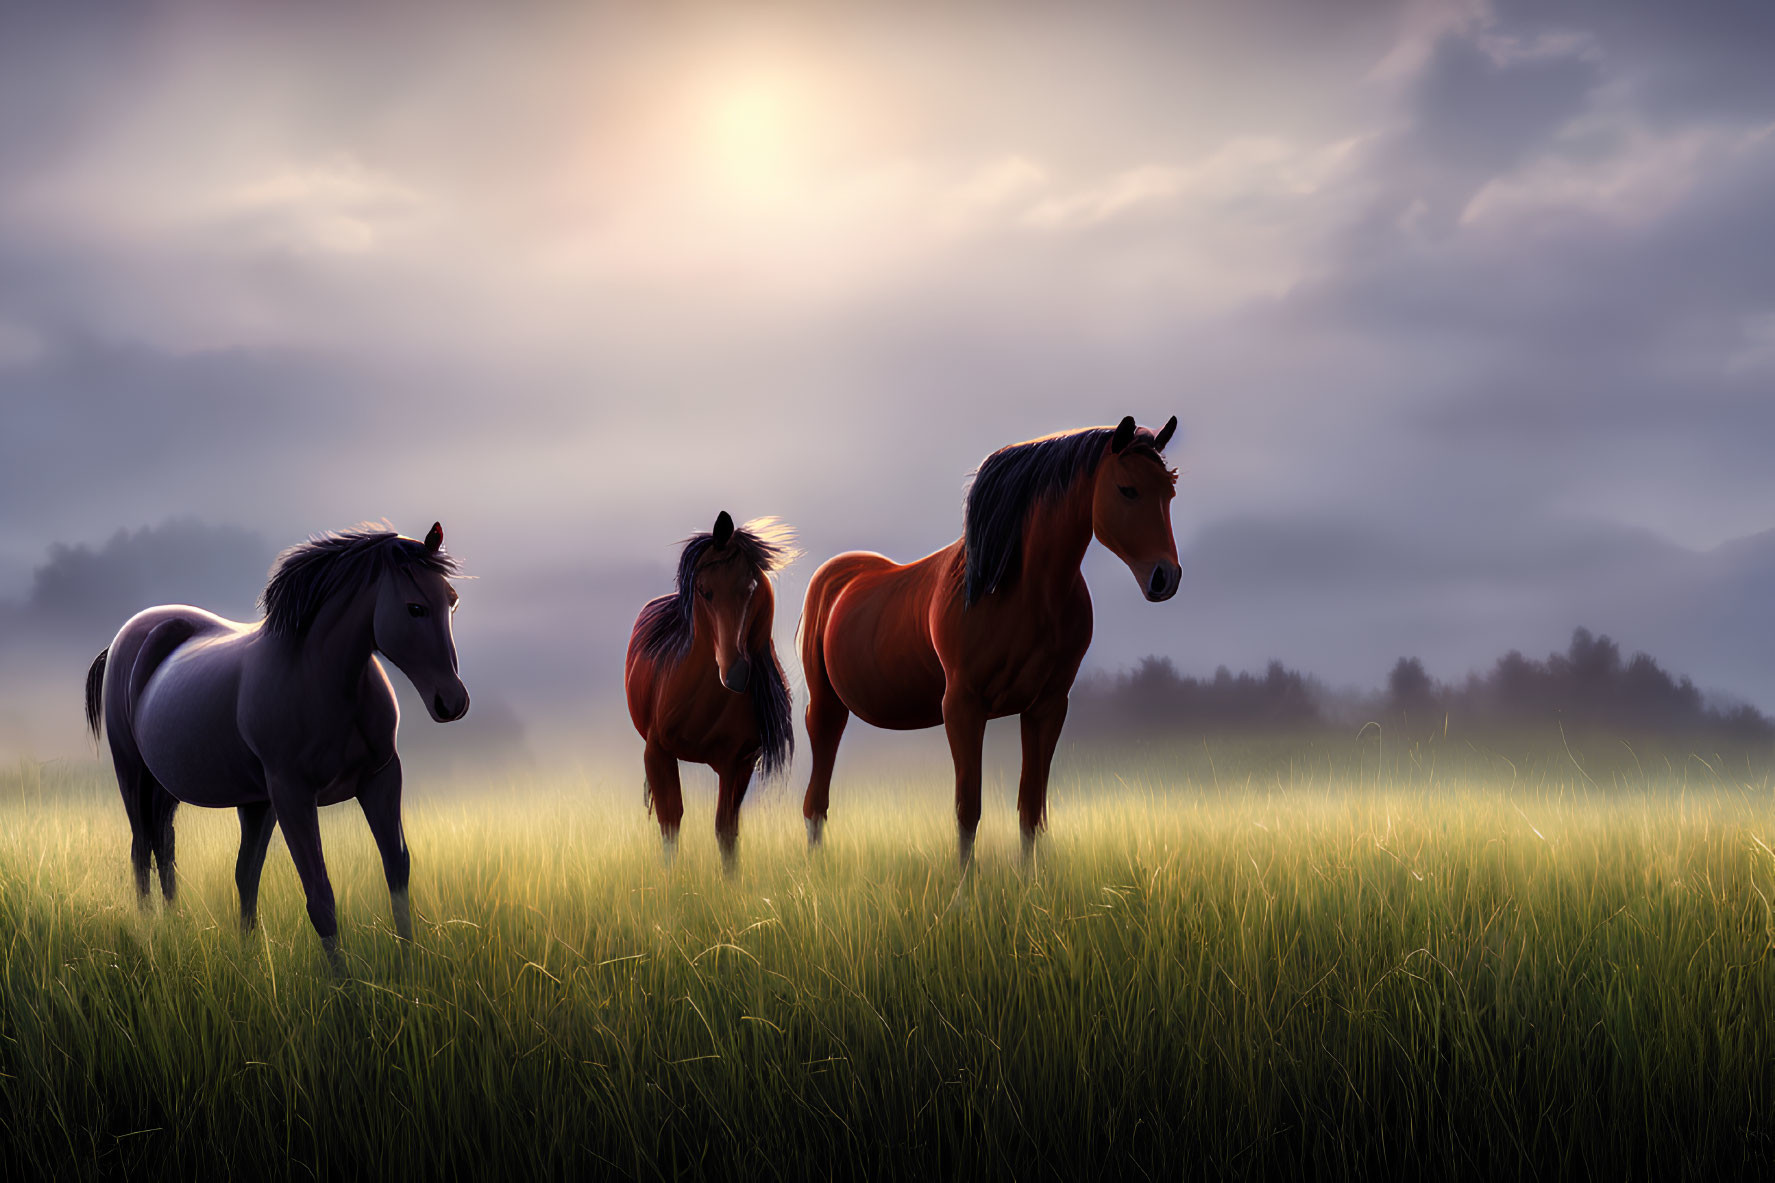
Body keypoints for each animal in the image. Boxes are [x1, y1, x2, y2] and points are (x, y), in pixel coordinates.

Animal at [81, 522, 472, 966]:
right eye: (414, 608)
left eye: (452, 601)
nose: (453, 702)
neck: (323, 678)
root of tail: (128, 637)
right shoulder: (292, 795)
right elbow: (320, 894)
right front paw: (344, 982)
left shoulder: (381, 779)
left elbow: (397, 873)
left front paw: (409, 967)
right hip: (133, 774)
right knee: (142, 850)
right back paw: (151, 932)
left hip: (206, 794)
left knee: (179, 852)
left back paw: (185, 929)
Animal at [621, 508, 795, 866]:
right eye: (703, 590)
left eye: (752, 586)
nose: (737, 673)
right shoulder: (657, 753)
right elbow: (670, 823)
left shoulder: (738, 763)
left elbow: (726, 831)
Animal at [805, 419, 1178, 863]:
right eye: (1127, 489)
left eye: (1169, 492)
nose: (1166, 577)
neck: (1022, 591)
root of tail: (838, 574)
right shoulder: (963, 707)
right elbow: (968, 810)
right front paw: (964, 885)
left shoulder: (1047, 707)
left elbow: (1031, 809)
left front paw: (1030, 881)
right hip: (826, 706)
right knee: (815, 797)